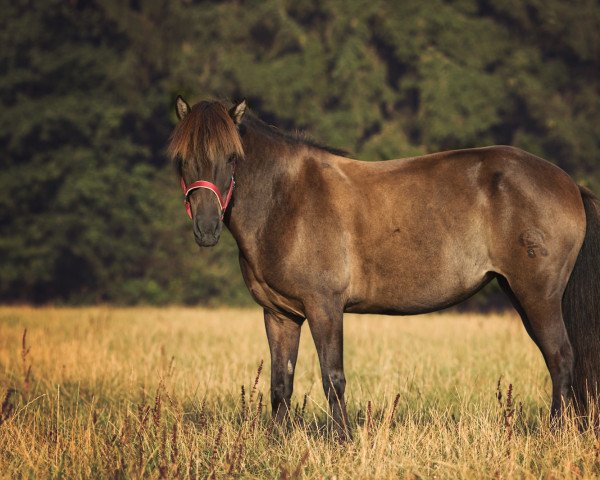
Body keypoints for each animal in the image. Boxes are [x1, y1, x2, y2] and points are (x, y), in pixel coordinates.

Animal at [168, 94, 600, 438]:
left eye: (232, 157)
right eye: (183, 160)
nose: (206, 228)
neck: (287, 200)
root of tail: (569, 184)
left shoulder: (325, 308)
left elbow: (332, 377)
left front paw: (342, 441)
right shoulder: (279, 314)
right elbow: (280, 383)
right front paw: (274, 443)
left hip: (538, 297)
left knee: (561, 358)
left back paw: (555, 434)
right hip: (521, 294)